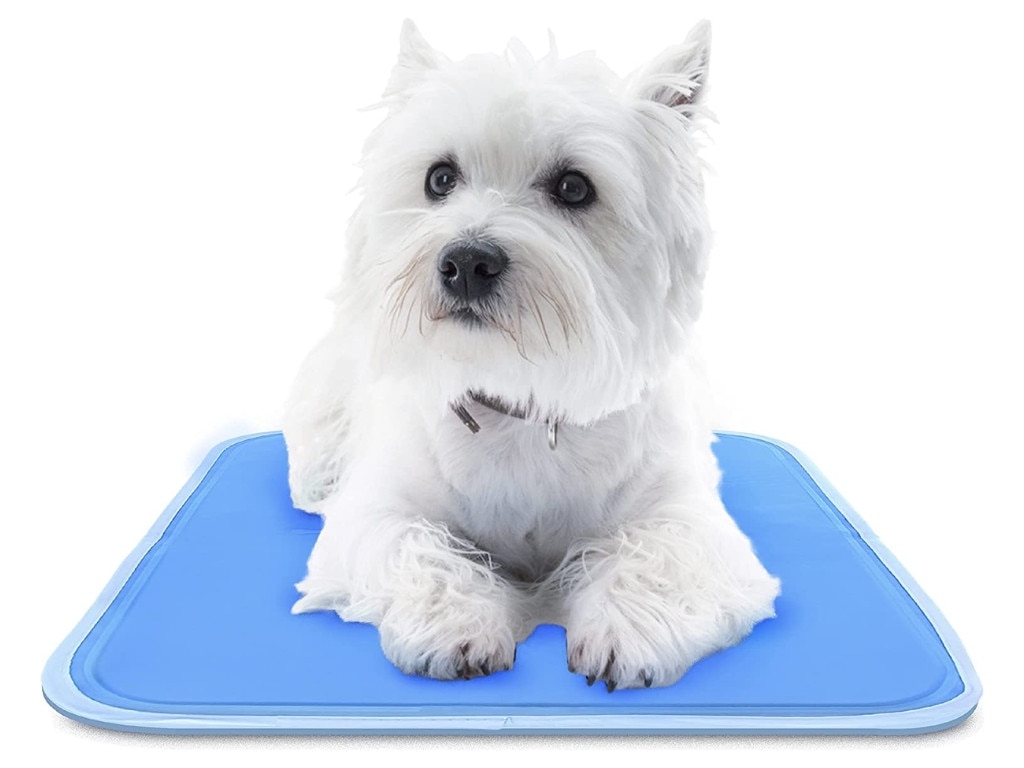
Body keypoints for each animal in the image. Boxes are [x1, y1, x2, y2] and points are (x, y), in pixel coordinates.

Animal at [284, 20, 778, 692]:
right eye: (440, 178)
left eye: (573, 187)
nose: (466, 261)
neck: (521, 399)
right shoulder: (379, 511)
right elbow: (418, 546)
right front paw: (457, 625)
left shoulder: (689, 517)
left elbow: (660, 553)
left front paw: (625, 632)